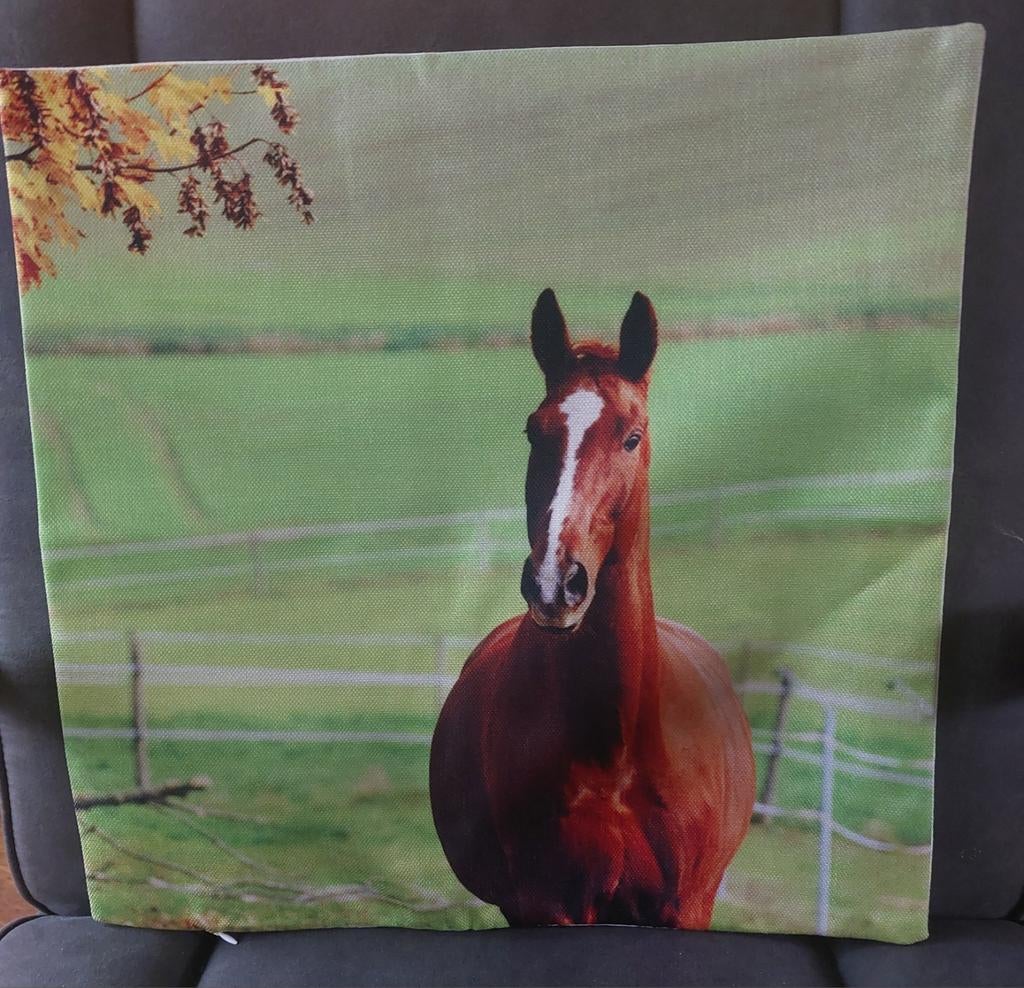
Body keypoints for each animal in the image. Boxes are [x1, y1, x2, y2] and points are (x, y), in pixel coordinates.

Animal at [429, 289, 755, 929]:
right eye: (534, 432)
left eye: (632, 436)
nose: (556, 583)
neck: (615, 753)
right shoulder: (547, 907)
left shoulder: (685, 908)